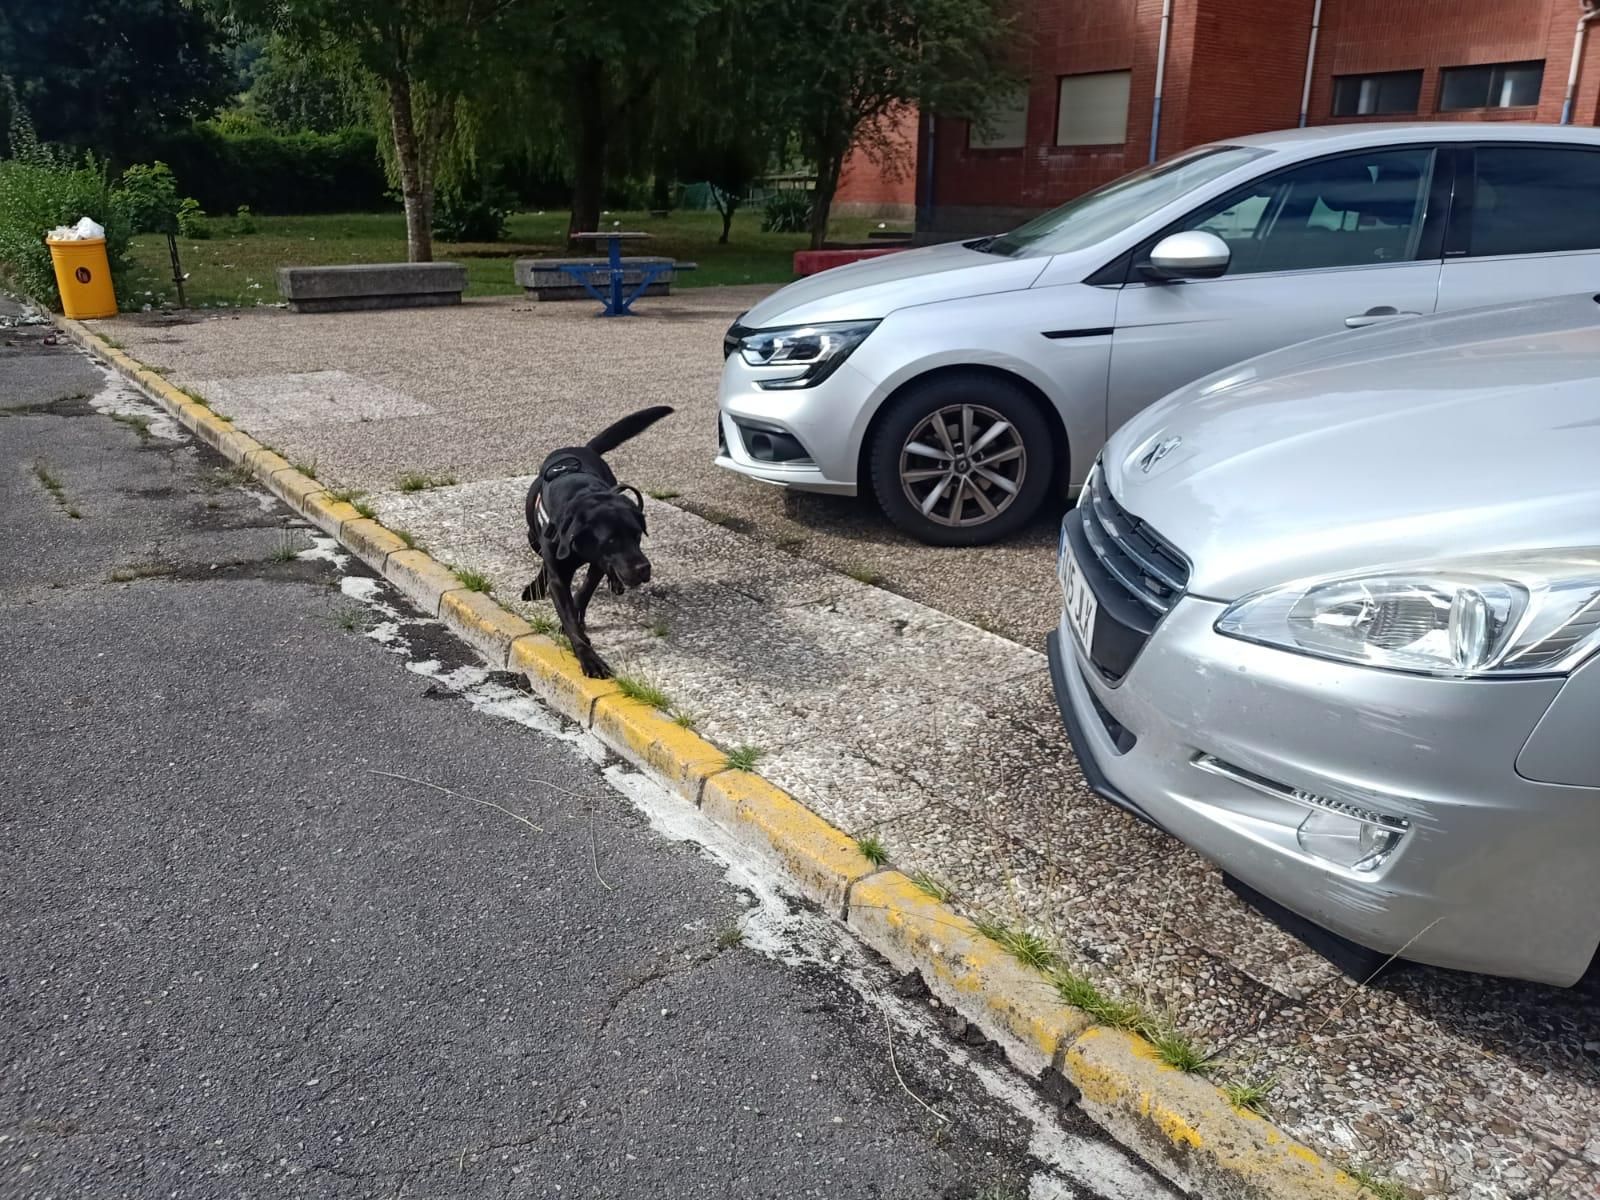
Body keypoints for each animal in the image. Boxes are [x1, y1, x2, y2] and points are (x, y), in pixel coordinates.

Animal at [524, 409, 675, 681]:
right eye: (611, 540)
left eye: (637, 535)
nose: (643, 568)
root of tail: (583, 448)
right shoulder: (559, 576)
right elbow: (568, 613)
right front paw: (588, 658)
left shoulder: (599, 563)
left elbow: (583, 594)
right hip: (533, 537)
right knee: (541, 559)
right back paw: (535, 587)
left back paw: (616, 583)